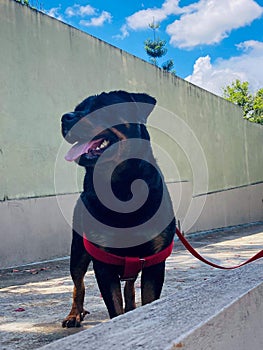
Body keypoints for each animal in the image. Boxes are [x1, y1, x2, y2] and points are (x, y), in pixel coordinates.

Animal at [60, 91, 175, 326]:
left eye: (101, 107)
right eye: (77, 108)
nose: (65, 117)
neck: (121, 189)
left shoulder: (155, 261)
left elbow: (148, 299)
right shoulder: (103, 263)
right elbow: (114, 306)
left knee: (129, 284)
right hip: (78, 251)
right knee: (78, 283)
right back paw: (74, 314)